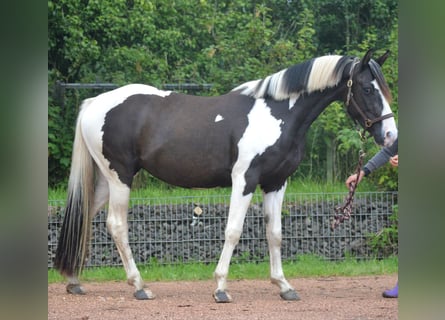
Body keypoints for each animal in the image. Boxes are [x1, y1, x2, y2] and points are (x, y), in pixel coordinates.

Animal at [53, 49, 398, 302]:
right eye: (368, 88)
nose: (390, 135)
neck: (277, 113)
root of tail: (93, 104)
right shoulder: (244, 180)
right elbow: (233, 231)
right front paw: (220, 287)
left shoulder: (276, 183)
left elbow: (275, 233)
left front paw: (284, 286)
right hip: (120, 177)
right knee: (116, 225)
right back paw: (139, 286)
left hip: (105, 181)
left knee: (84, 216)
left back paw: (74, 280)